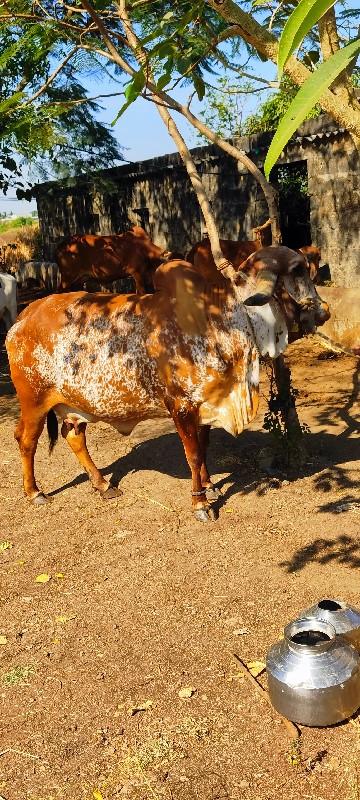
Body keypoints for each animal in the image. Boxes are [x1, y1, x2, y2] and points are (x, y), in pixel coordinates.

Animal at [4, 250, 330, 524]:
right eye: (296, 273)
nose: (324, 313)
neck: (222, 321)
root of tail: (26, 313)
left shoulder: (206, 405)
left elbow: (204, 447)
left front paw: (210, 485)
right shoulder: (181, 406)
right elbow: (193, 454)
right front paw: (200, 503)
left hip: (74, 403)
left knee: (74, 436)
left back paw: (103, 484)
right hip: (34, 401)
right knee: (26, 440)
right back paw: (35, 492)